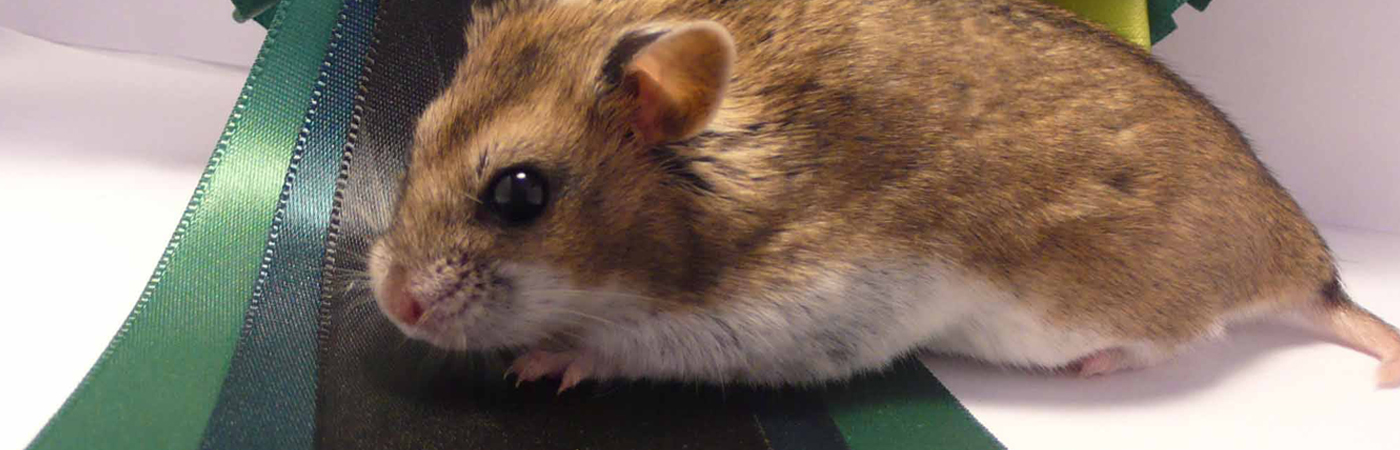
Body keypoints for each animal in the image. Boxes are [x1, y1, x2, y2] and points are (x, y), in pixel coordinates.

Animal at [366, 0, 1400, 391]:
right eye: (418, 136)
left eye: (520, 193)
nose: (393, 304)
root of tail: (1309, 265)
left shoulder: (800, 312)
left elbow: (628, 346)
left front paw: (546, 362)